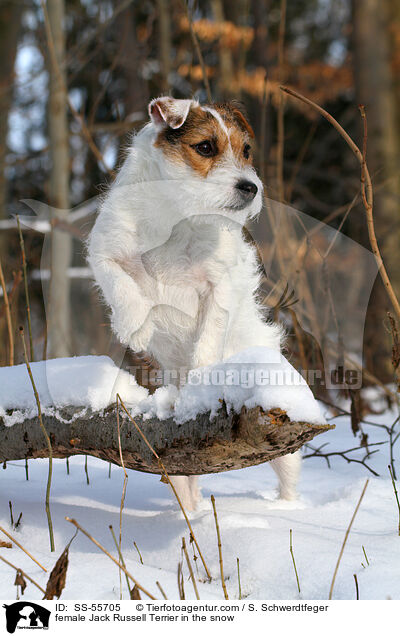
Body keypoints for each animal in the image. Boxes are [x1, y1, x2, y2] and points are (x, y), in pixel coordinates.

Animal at [87, 95, 300, 512]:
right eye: (205, 147)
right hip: (174, 460)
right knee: (186, 479)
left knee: (288, 471)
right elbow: (120, 282)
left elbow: (210, 332)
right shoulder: (104, 252)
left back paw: (286, 510)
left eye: (246, 150)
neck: (177, 216)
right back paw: (191, 513)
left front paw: (202, 373)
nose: (251, 187)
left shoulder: (221, 284)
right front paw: (135, 324)